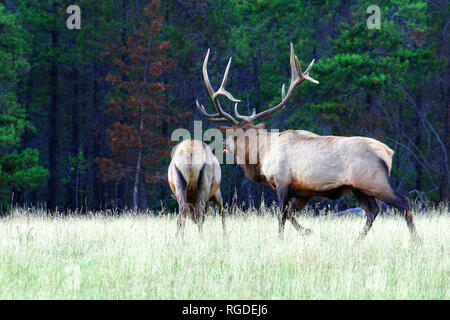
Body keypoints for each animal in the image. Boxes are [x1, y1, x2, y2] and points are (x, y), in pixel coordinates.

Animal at [195, 43, 420, 242]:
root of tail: (388, 153)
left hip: (373, 180)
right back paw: (357, 241)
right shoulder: (302, 191)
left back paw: (415, 241)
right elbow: (291, 214)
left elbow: (281, 215)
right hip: (359, 187)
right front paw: (308, 231)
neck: (261, 157)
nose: (223, 146)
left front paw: (282, 239)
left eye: (232, 136)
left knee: (403, 203)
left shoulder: (283, 182)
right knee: (373, 210)